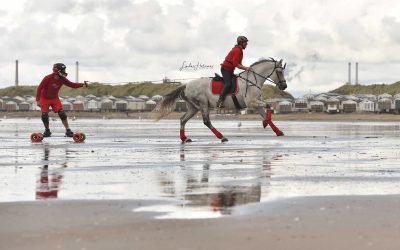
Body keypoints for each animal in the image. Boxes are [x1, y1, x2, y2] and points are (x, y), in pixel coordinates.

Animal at [153, 57, 288, 143]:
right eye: (280, 71)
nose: (284, 86)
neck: (252, 81)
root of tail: (186, 85)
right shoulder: (252, 103)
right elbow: (269, 106)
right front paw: (266, 123)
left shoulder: (257, 104)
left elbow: (267, 112)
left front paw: (277, 130)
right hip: (203, 104)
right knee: (206, 122)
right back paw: (222, 137)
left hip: (193, 107)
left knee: (183, 120)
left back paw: (184, 138)